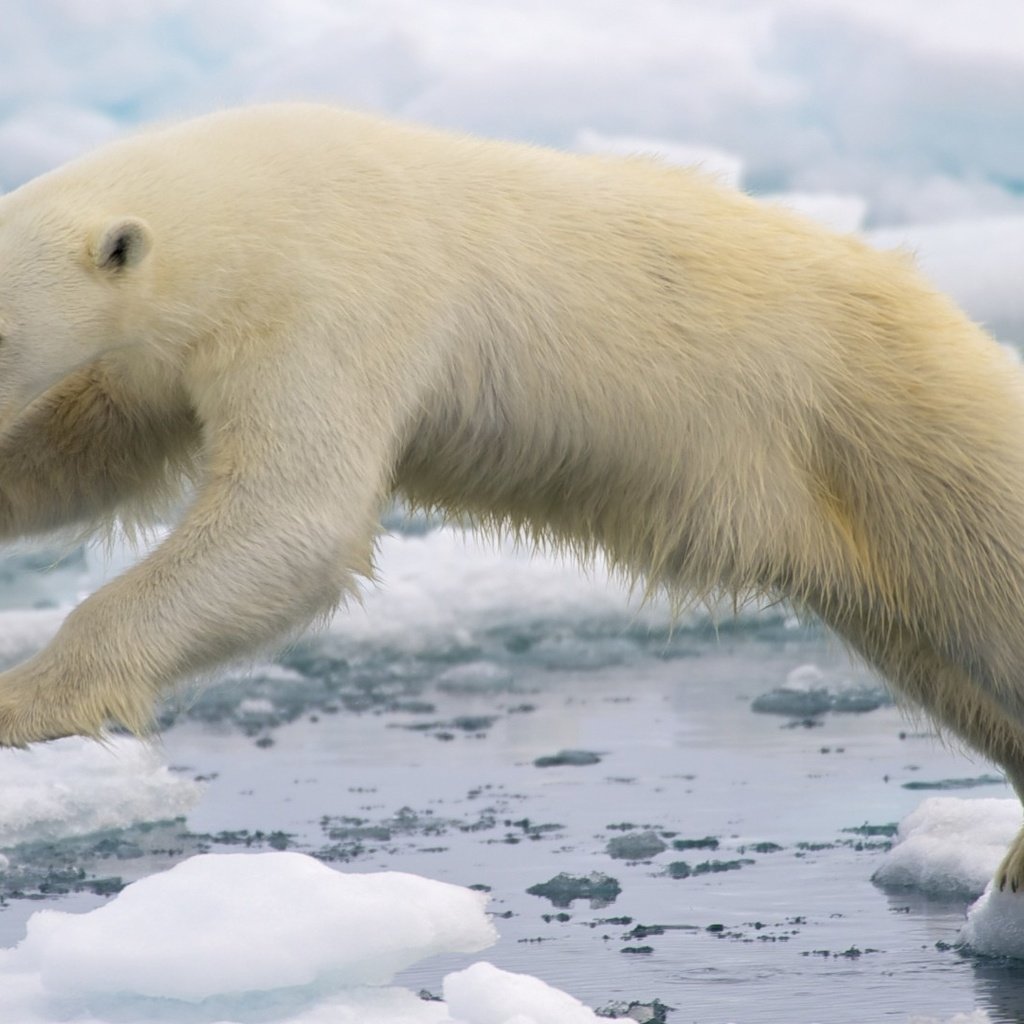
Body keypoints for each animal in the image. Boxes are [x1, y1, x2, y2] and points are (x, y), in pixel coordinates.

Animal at [0, 103, 1024, 884]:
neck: (250, 201)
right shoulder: (165, 351)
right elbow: (93, 446)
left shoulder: (332, 305)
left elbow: (291, 520)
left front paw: (25, 697)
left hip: (904, 439)